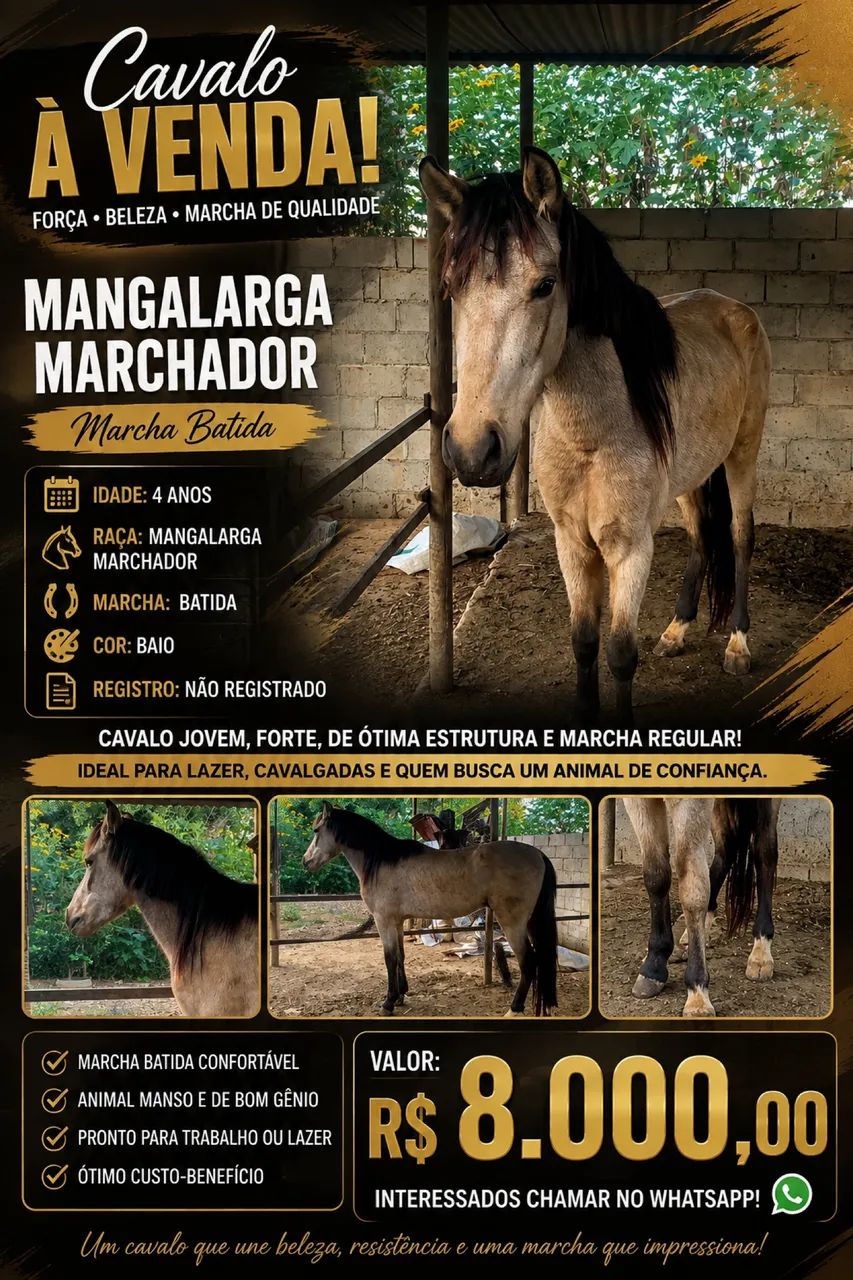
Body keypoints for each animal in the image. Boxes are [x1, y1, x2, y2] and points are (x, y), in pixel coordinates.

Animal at [303, 803, 558, 1016]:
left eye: (316, 830)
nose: (306, 862)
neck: (380, 860)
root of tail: (538, 854)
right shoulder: (396, 921)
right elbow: (400, 956)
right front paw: (401, 996)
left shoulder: (384, 920)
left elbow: (389, 959)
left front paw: (388, 1003)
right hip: (529, 922)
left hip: (512, 922)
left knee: (528, 962)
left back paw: (514, 1009)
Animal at [420, 147, 771, 719]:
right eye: (451, 288)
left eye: (545, 285)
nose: (472, 450)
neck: (592, 432)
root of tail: (733, 309)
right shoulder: (572, 542)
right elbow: (584, 643)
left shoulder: (629, 549)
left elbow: (620, 654)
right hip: (693, 477)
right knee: (701, 536)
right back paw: (676, 630)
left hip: (743, 455)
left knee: (740, 537)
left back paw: (738, 645)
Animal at [622, 797, 780, 1016]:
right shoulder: (637, 801)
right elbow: (656, 875)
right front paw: (654, 966)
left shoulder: (691, 803)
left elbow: (692, 892)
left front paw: (697, 994)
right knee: (727, 846)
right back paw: (688, 939)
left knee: (764, 850)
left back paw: (761, 952)